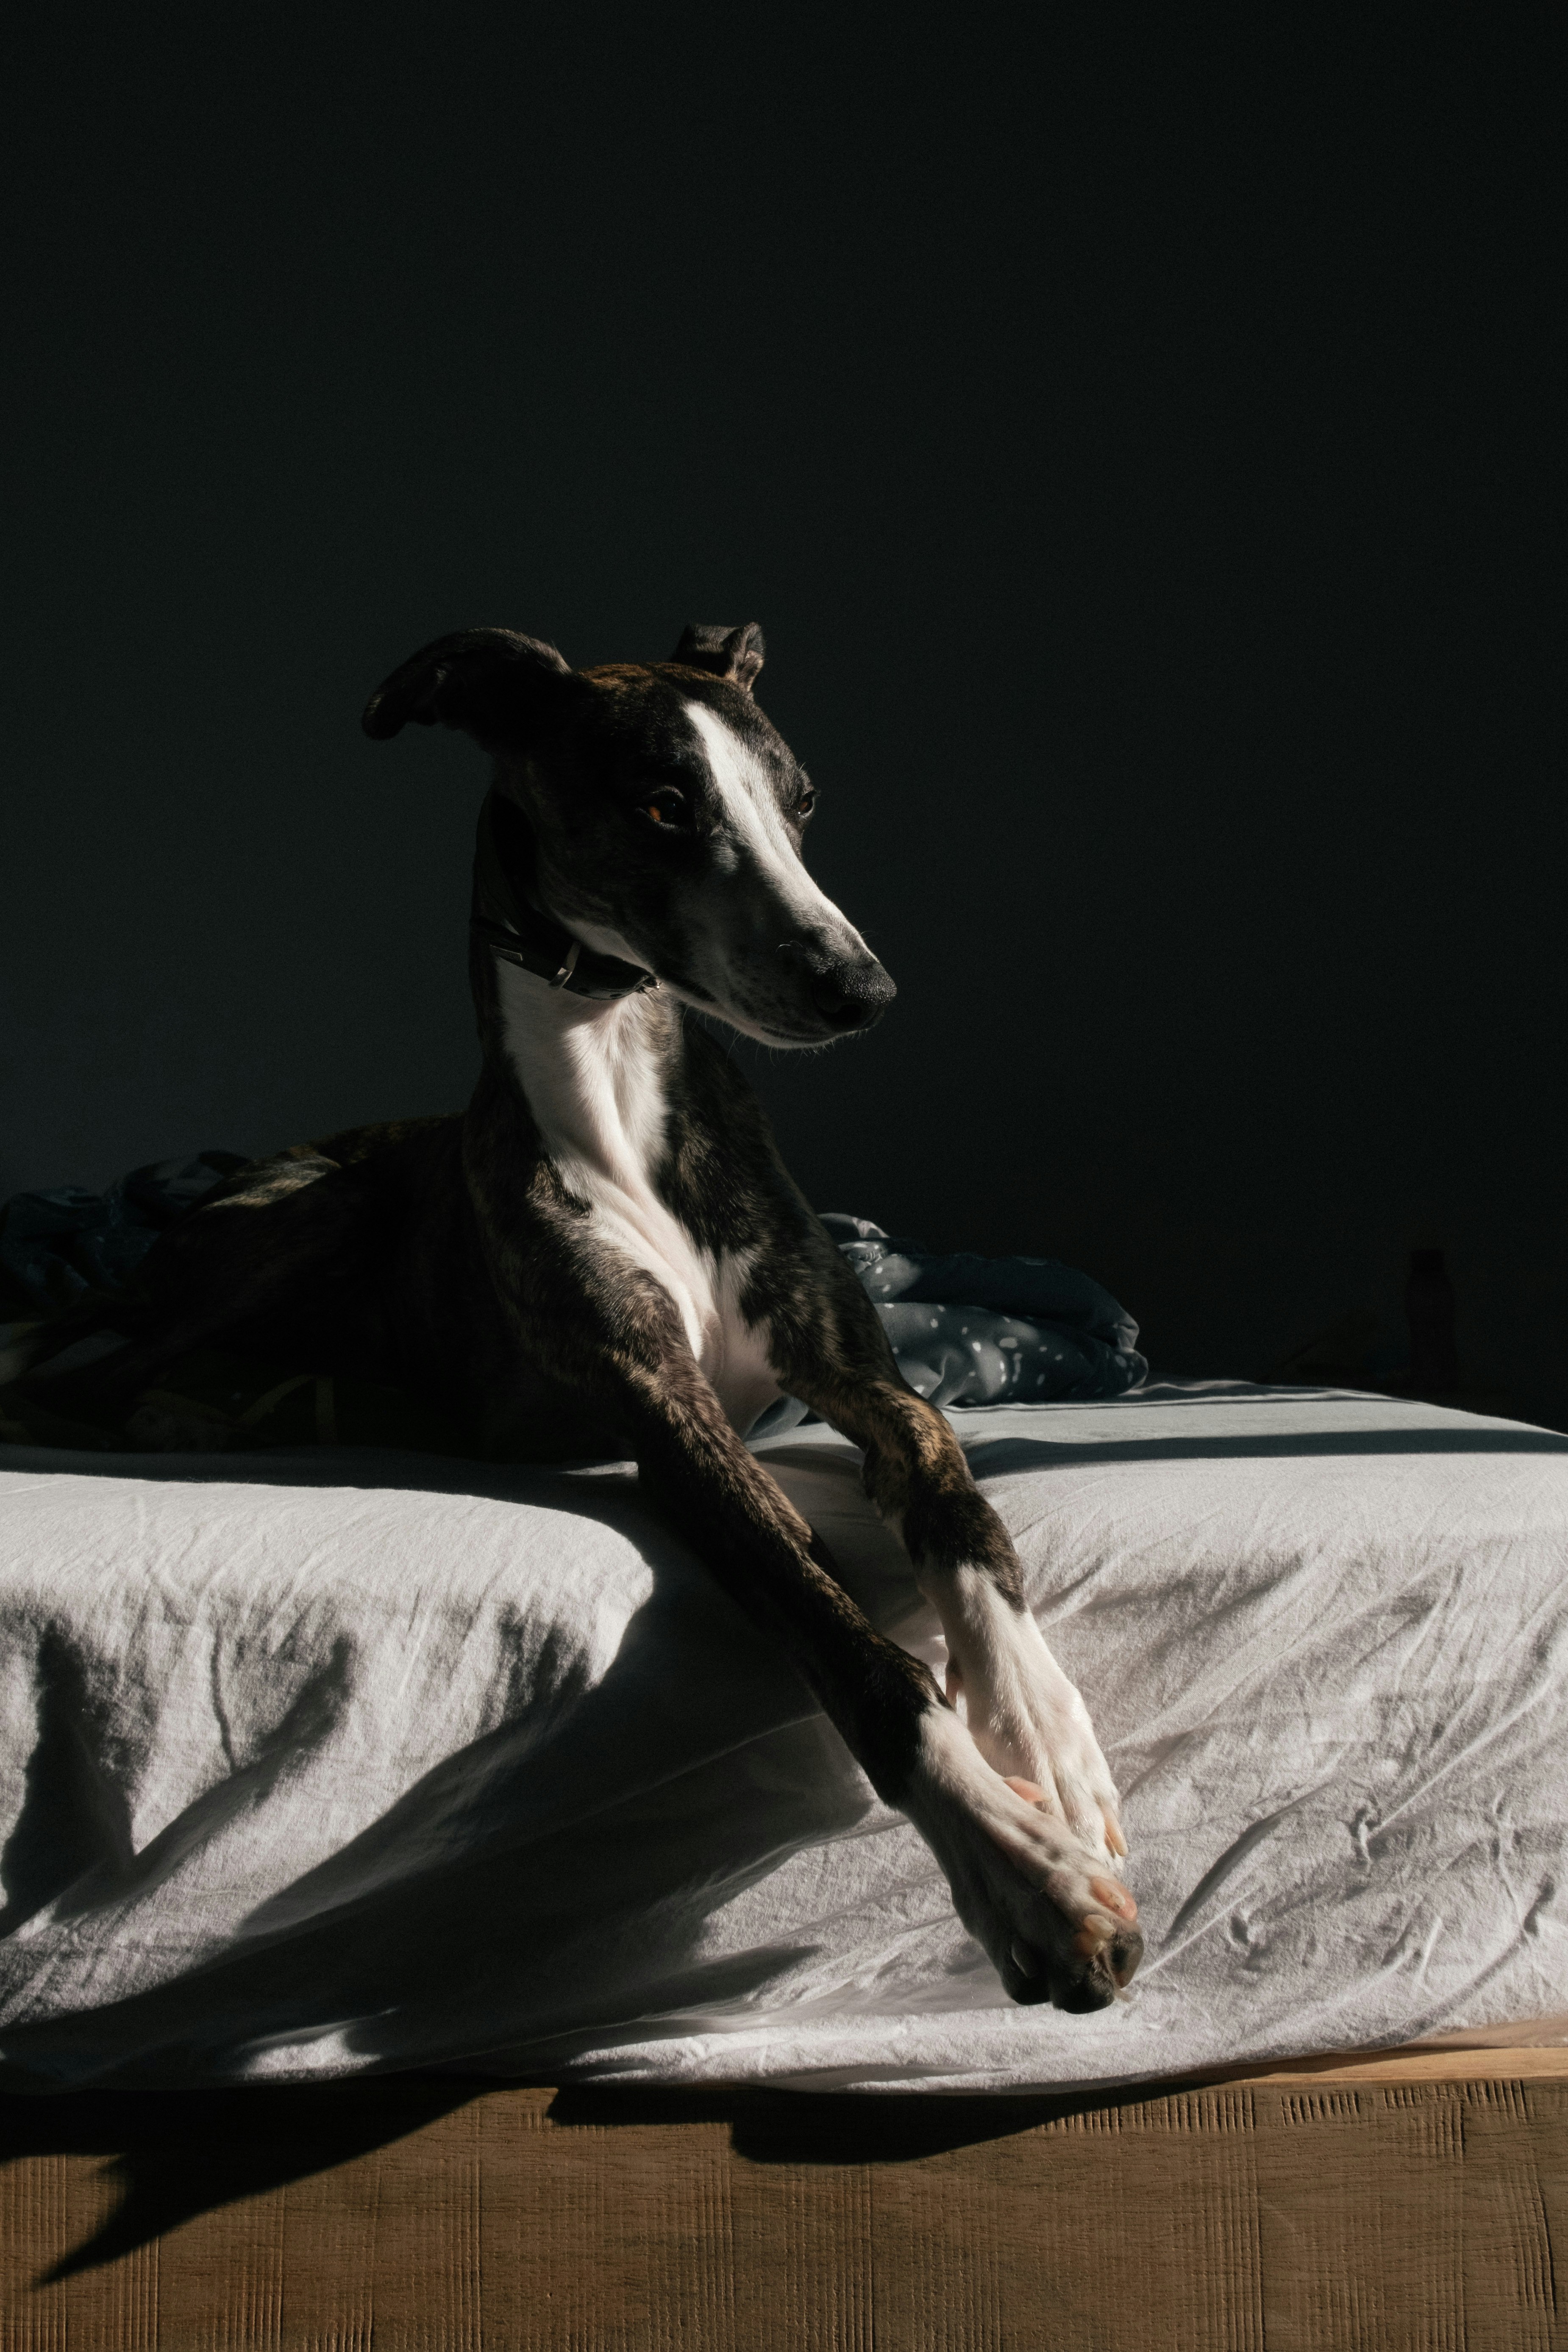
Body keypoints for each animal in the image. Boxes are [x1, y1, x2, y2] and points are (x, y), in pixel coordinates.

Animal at [15, 630, 1142, 2023]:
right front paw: (1023, 1870)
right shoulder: (664, 1411)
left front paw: (1044, 1728)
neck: (609, 1067)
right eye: (662, 804)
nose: (861, 988)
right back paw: (184, 1415)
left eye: (801, 801)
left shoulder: (864, 1376)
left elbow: (957, 1501)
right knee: (78, 1378)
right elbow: (845, 1633)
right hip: (306, 1218)